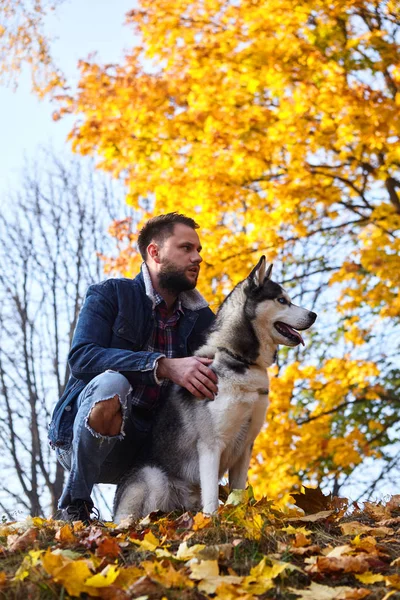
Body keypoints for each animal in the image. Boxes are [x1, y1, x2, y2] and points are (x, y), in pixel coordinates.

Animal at [112, 256, 316, 520]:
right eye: (282, 300)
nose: (313, 315)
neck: (240, 359)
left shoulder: (246, 446)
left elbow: (239, 492)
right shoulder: (210, 445)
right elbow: (211, 498)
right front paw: (212, 521)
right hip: (153, 477)